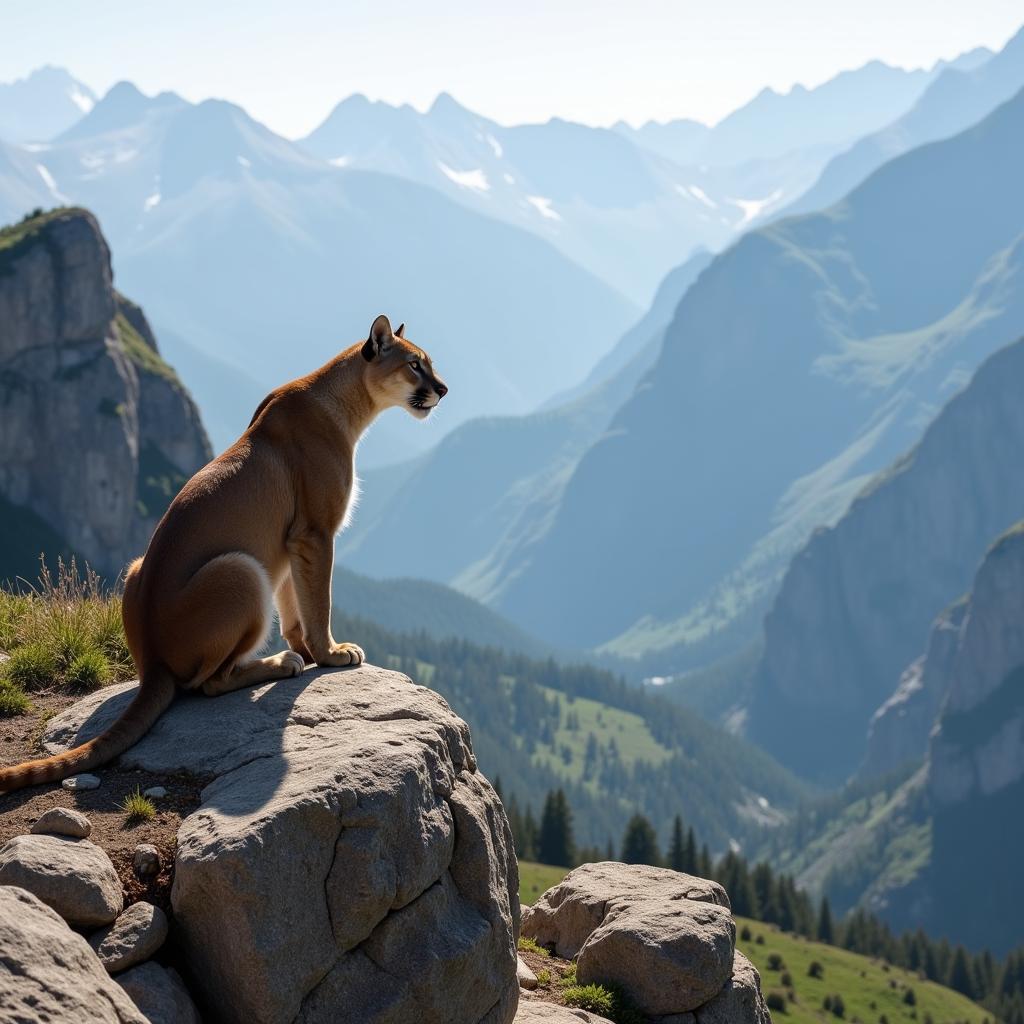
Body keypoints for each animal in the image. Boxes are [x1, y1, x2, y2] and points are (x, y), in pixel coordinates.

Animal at [1, 315, 448, 794]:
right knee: (210, 683)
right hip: (240, 569)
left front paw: (310, 650)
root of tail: (154, 661)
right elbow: (318, 602)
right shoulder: (314, 533)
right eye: (415, 365)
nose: (442, 389)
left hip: (140, 567)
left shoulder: (290, 545)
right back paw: (280, 663)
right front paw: (329, 653)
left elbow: (296, 606)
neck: (348, 401)